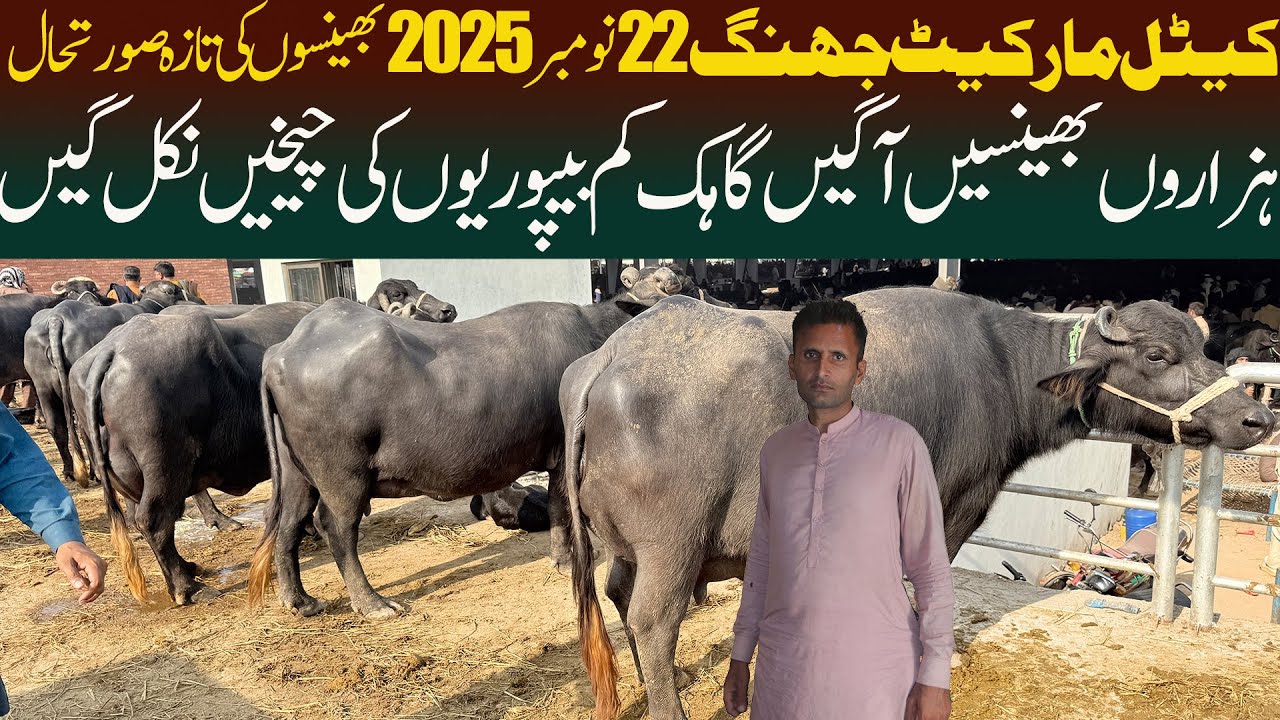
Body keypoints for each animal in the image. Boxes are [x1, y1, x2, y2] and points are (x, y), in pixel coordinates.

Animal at [244, 268, 688, 619]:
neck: (598, 337)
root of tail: (283, 350)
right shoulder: (561, 452)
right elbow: (562, 508)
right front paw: (567, 561)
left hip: (298, 473)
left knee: (287, 522)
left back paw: (299, 601)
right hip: (342, 475)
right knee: (336, 528)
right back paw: (372, 604)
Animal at [555, 290, 1274, 720]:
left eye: (1203, 347)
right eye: (1157, 354)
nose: (1255, 419)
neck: (1003, 369)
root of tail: (605, 363)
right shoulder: (952, 506)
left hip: (628, 546)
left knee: (618, 595)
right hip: (673, 546)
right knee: (652, 618)